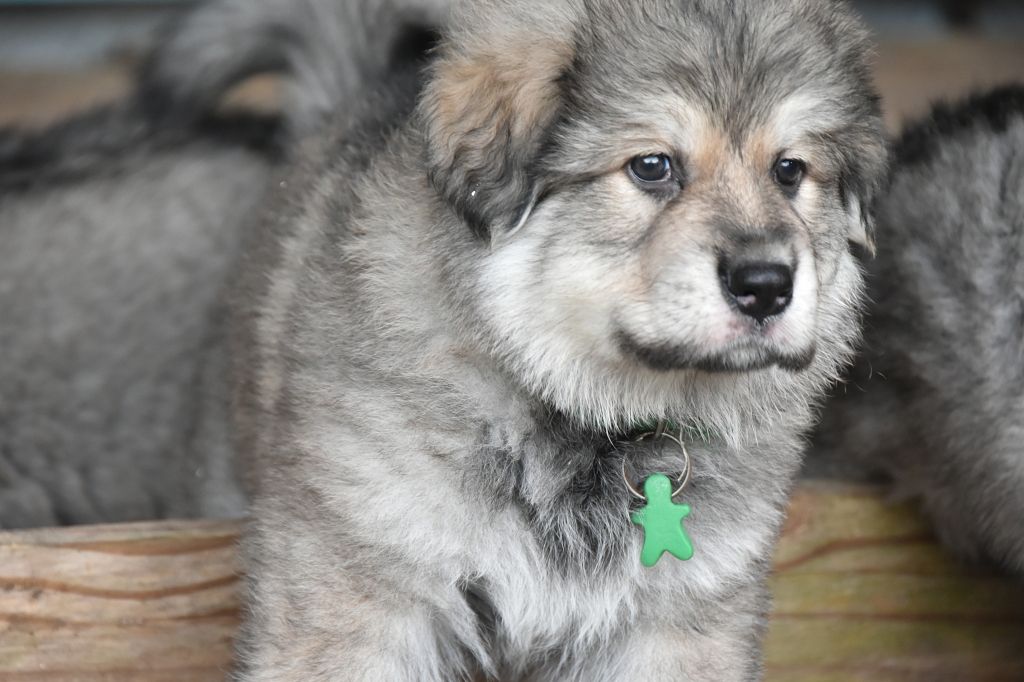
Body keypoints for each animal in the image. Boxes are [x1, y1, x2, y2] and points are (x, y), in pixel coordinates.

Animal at [229, 0, 888, 678]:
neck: (590, 426)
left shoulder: (679, 622)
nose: (766, 285)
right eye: (652, 166)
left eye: (789, 170)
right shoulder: (364, 592)